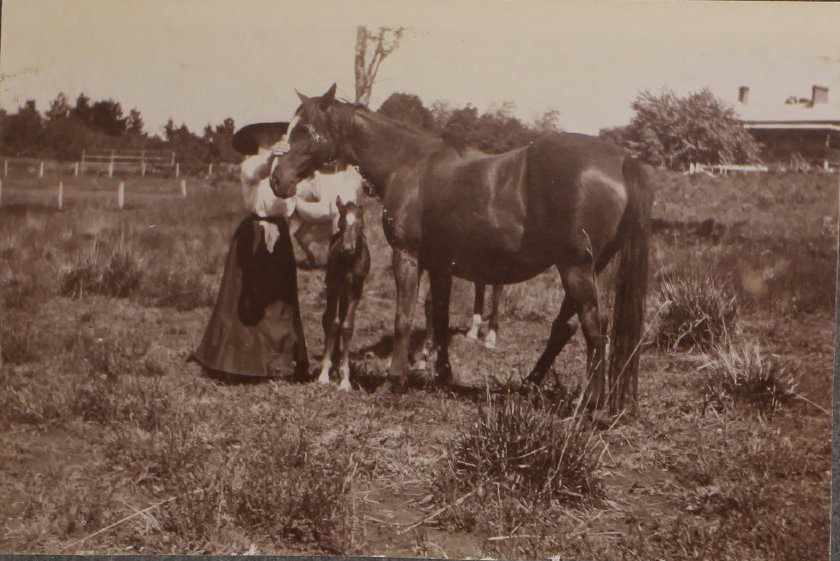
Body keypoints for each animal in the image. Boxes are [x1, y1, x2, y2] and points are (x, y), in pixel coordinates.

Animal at [317, 197, 371, 390]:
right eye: (340, 224)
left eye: (360, 225)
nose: (347, 248)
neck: (348, 262)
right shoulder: (333, 287)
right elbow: (332, 323)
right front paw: (324, 374)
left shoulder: (355, 290)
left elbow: (347, 326)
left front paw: (345, 379)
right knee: (328, 318)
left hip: (346, 294)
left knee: (341, 318)